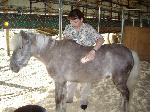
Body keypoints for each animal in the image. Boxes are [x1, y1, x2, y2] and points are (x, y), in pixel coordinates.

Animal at [9, 30, 140, 112]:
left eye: (20, 47)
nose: (12, 67)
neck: (53, 53)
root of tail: (129, 51)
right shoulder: (63, 83)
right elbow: (62, 99)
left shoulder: (59, 82)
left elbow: (58, 100)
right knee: (124, 95)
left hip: (119, 81)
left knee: (126, 95)